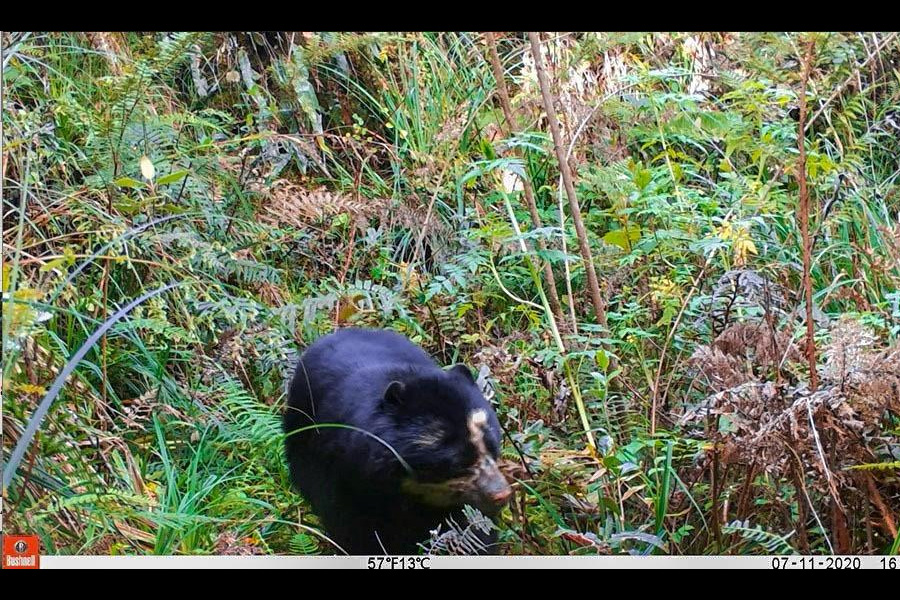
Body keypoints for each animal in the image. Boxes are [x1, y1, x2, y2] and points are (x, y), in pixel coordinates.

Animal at [283, 327, 512, 555]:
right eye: (458, 462)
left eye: (493, 447)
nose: (501, 494)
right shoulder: (345, 476)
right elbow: (354, 530)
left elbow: (473, 528)